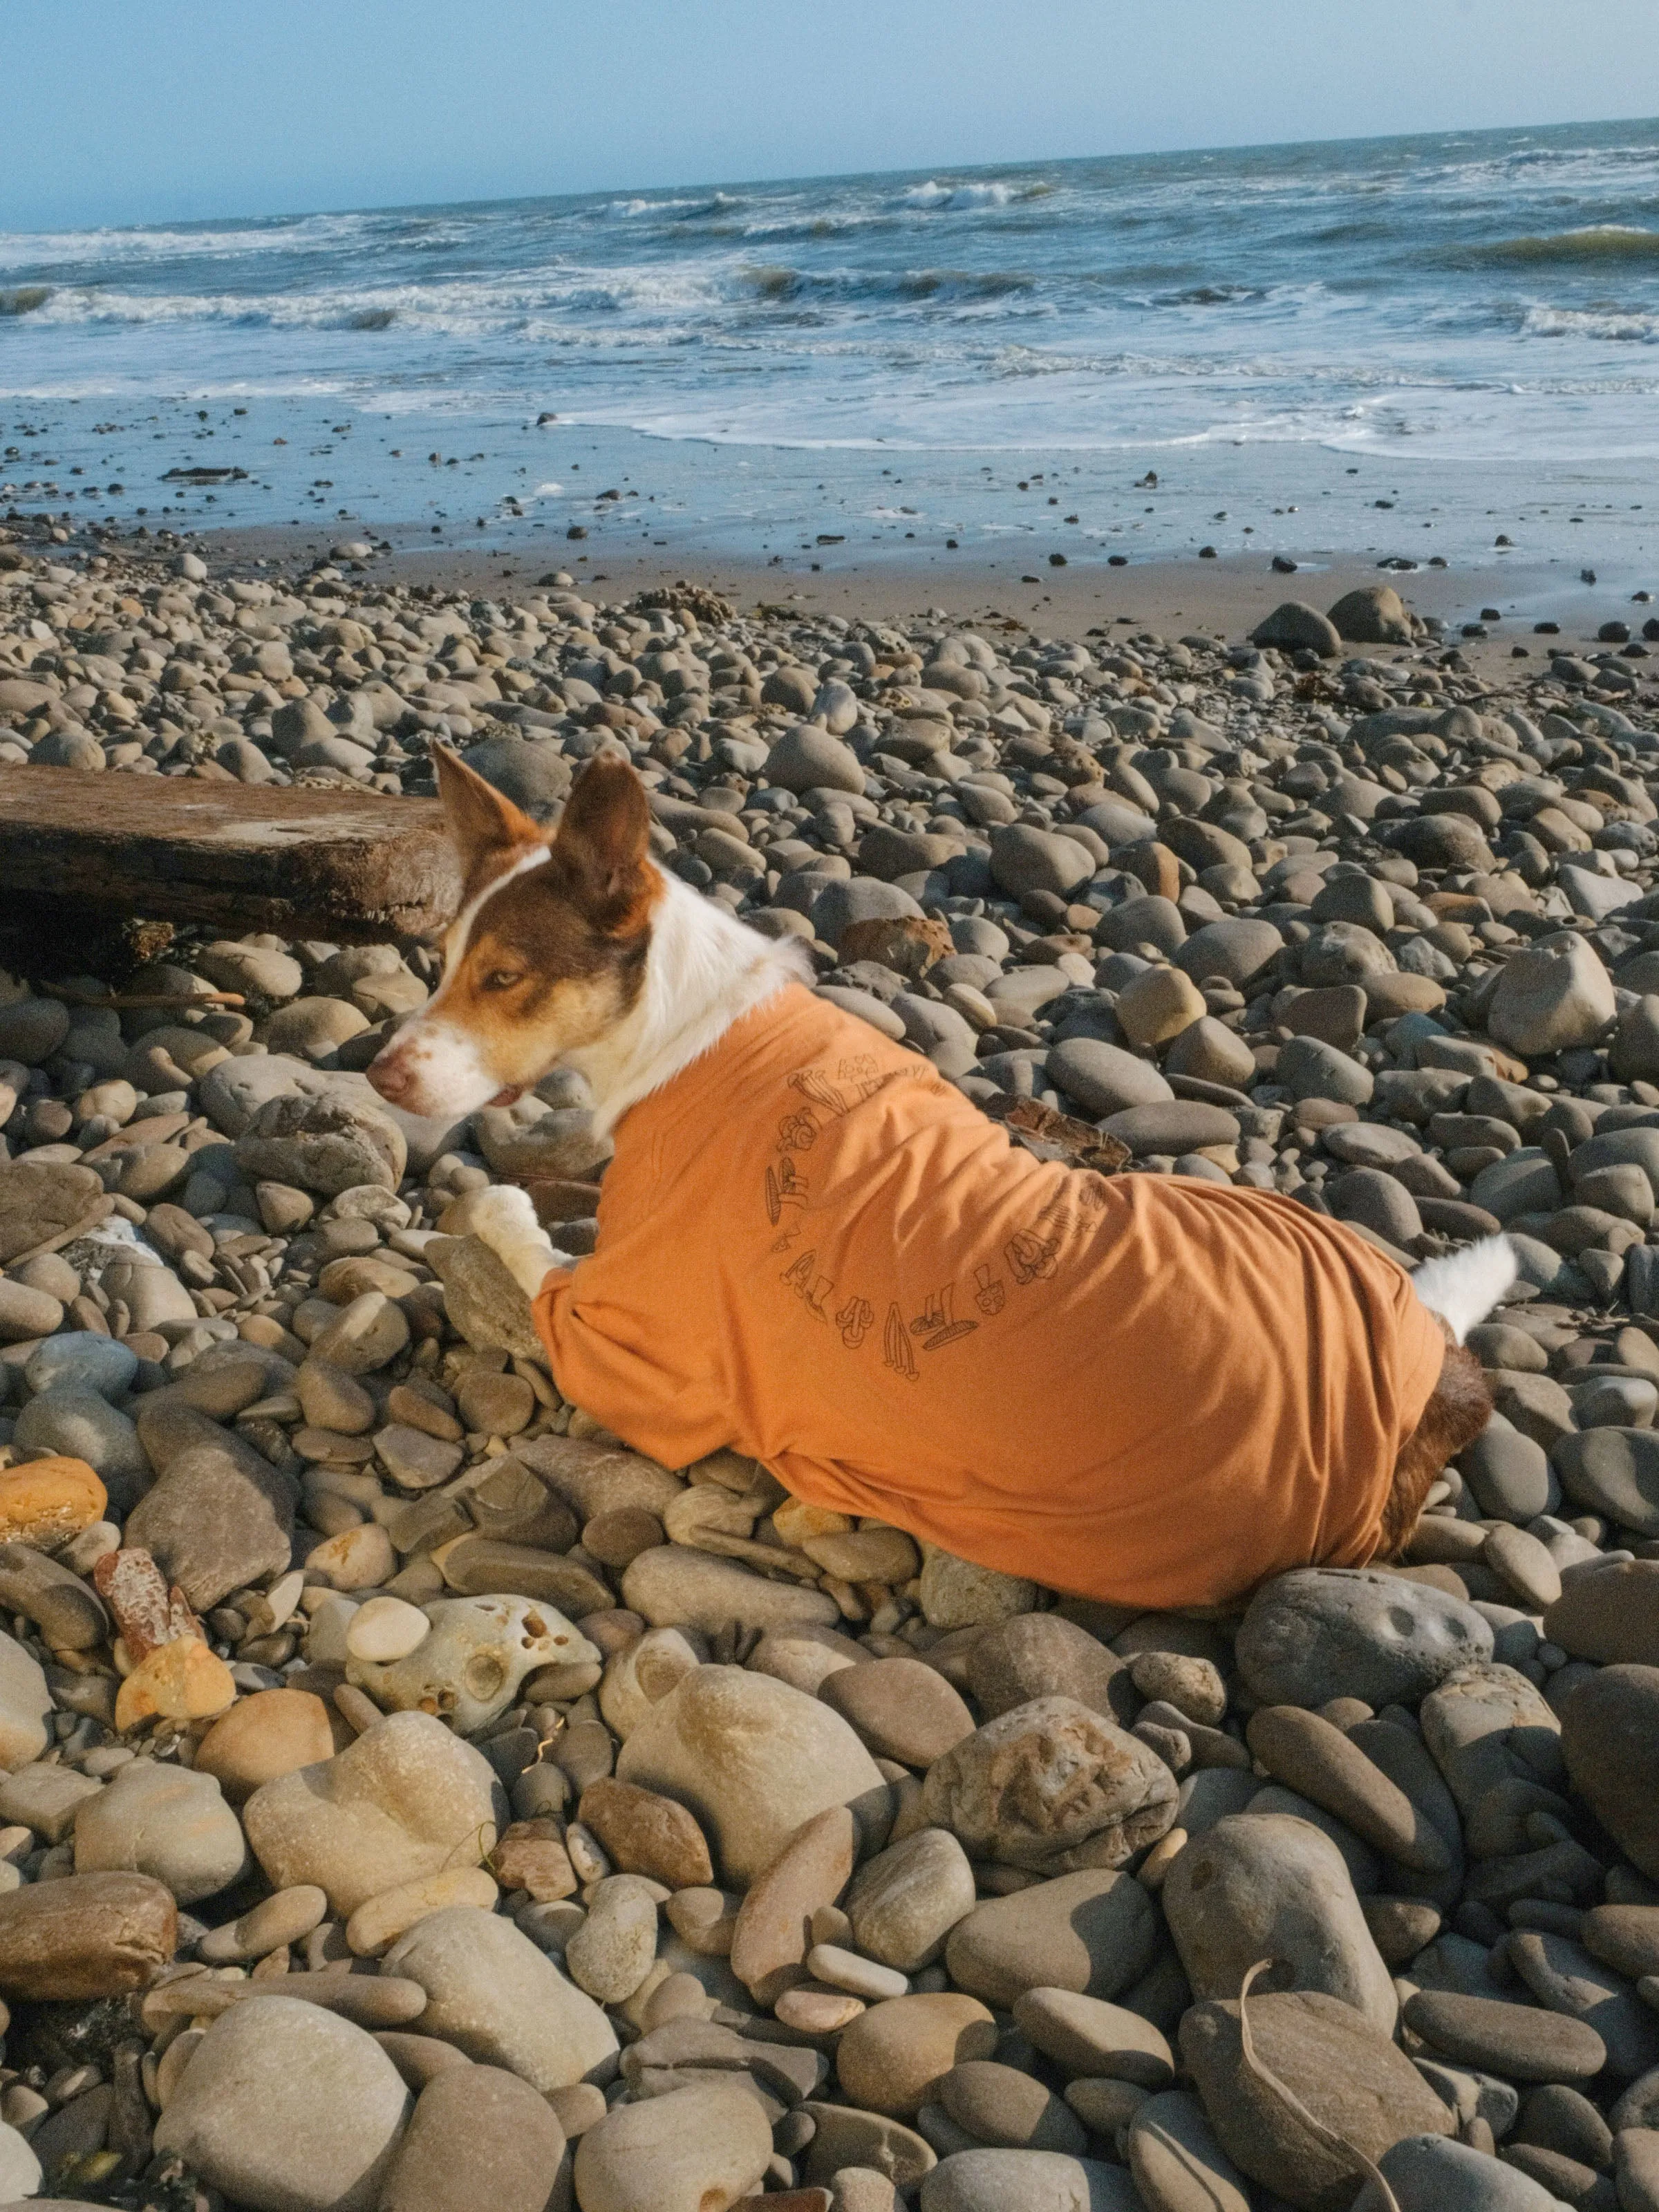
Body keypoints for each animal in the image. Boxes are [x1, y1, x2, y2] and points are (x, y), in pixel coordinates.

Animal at [373, 743, 1521, 1610]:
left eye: (504, 978)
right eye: (443, 961)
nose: (378, 1074)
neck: (686, 1033)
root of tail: (1437, 1378)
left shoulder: (625, 1344)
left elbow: (517, 1229)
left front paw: (494, 1198)